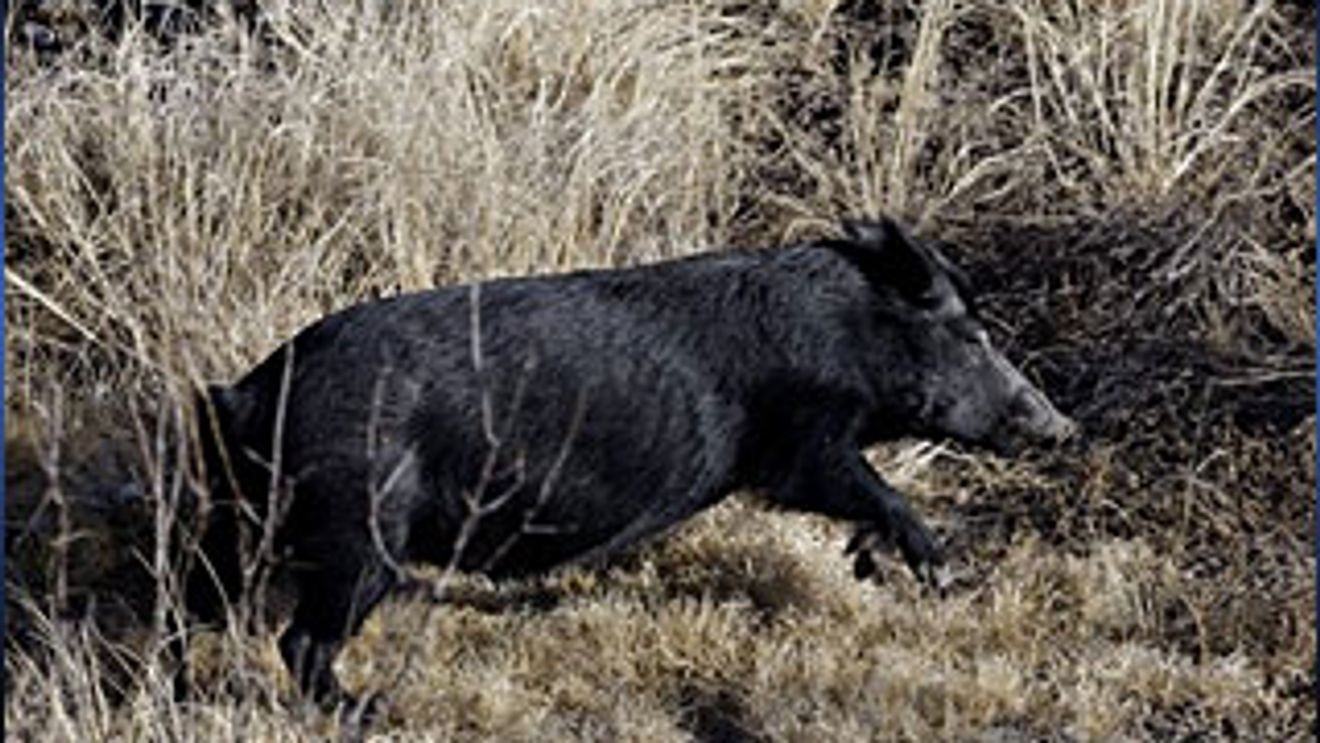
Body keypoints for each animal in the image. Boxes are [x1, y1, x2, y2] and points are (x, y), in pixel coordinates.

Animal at [186, 217, 1076, 713]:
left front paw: (868, 565)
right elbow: (865, 487)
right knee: (302, 640)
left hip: (246, 520)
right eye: (970, 333)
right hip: (360, 529)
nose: (1060, 424)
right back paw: (367, 710)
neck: (851, 330)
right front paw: (942, 576)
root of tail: (249, 390)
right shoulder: (794, 439)